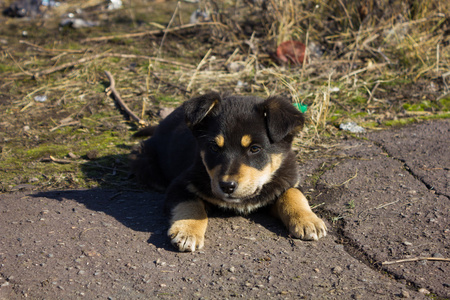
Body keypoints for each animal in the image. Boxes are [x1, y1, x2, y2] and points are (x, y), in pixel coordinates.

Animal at [130, 92, 326, 252]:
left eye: (255, 148)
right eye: (214, 148)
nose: (227, 186)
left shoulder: (287, 178)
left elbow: (293, 193)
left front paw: (308, 220)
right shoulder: (180, 184)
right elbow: (192, 205)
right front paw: (187, 232)